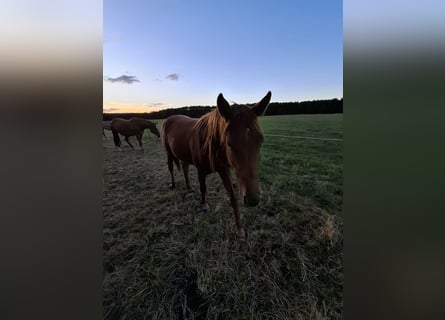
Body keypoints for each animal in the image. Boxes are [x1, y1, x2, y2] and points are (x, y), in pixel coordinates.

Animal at [160, 91, 270, 236]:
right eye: (229, 143)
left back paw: (189, 188)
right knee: (171, 168)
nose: (253, 199)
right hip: (168, 152)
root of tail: (168, 119)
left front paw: (240, 229)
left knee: (184, 168)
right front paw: (204, 205)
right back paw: (173, 185)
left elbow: (233, 197)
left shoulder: (224, 170)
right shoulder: (201, 170)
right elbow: (203, 188)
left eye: (261, 140)